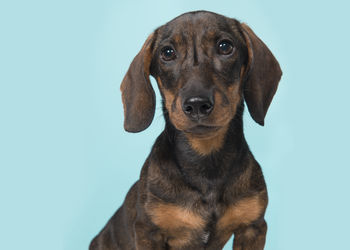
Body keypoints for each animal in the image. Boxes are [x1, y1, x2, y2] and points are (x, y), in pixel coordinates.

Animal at [89, 10, 282, 250]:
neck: (205, 160)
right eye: (167, 52)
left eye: (225, 46)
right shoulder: (148, 232)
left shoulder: (253, 228)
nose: (197, 104)